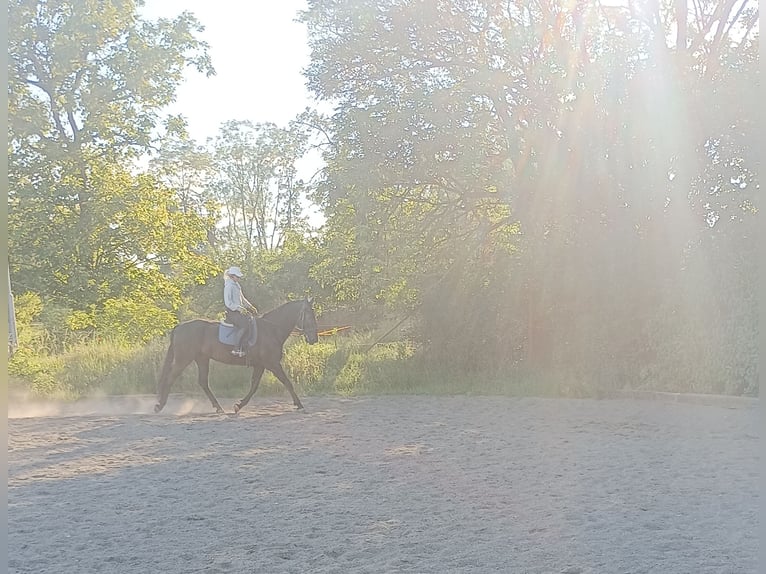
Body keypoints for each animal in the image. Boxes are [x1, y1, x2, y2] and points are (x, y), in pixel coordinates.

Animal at [154, 300, 320, 416]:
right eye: (309, 316)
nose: (314, 339)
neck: (271, 329)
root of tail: (179, 327)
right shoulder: (272, 363)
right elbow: (287, 382)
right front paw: (300, 405)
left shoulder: (260, 365)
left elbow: (254, 386)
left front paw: (238, 406)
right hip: (183, 359)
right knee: (170, 378)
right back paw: (159, 406)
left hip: (202, 359)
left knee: (203, 382)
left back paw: (218, 408)